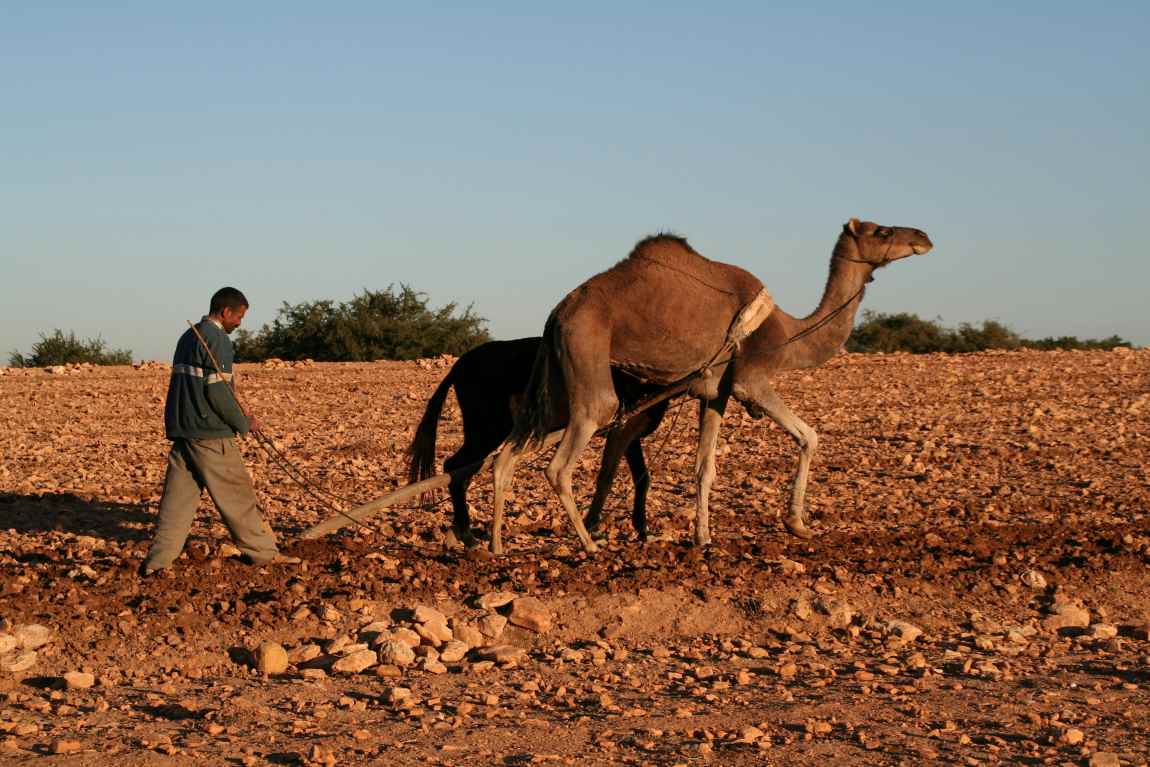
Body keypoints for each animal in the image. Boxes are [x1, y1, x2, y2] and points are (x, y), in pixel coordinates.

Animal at [407, 337, 668, 545]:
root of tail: (461, 364)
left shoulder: (632, 433)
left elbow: (642, 478)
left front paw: (642, 530)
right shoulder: (621, 428)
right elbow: (607, 477)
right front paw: (590, 527)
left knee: (461, 473)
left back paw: (460, 532)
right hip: (487, 429)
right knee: (453, 466)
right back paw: (467, 535)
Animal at [490, 218, 932, 555]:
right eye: (881, 231)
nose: (923, 237)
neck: (789, 333)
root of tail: (558, 313)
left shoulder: (715, 393)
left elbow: (705, 467)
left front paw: (703, 537)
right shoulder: (751, 379)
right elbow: (809, 435)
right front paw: (796, 523)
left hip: (559, 385)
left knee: (507, 454)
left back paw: (496, 546)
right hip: (588, 356)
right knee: (561, 463)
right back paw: (589, 545)